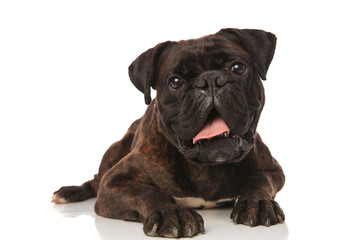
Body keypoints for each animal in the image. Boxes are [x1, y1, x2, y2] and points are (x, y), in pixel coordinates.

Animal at [52, 28, 286, 238]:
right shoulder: (114, 183)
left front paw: (258, 203)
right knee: (94, 181)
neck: (206, 166)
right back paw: (69, 192)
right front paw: (171, 212)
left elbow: (259, 180)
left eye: (238, 68)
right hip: (112, 152)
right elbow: (147, 192)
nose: (210, 80)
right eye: (175, 81)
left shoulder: (273, 170)